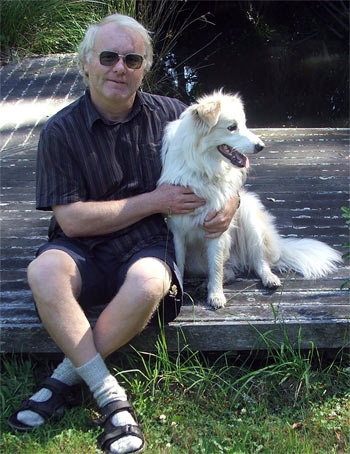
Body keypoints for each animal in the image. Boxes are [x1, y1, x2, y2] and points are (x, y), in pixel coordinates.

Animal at [158, 91, 342, 308]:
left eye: (245, 124)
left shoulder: (217, 228)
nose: (261, 146)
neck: (205, 168)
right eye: (231, 127)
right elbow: (180, 265)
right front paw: (179, 294)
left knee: (258, 261)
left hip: (250, 219)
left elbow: (216, 266)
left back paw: (269, 279)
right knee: (229, 271)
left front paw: (216, 295)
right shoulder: (178, 231)